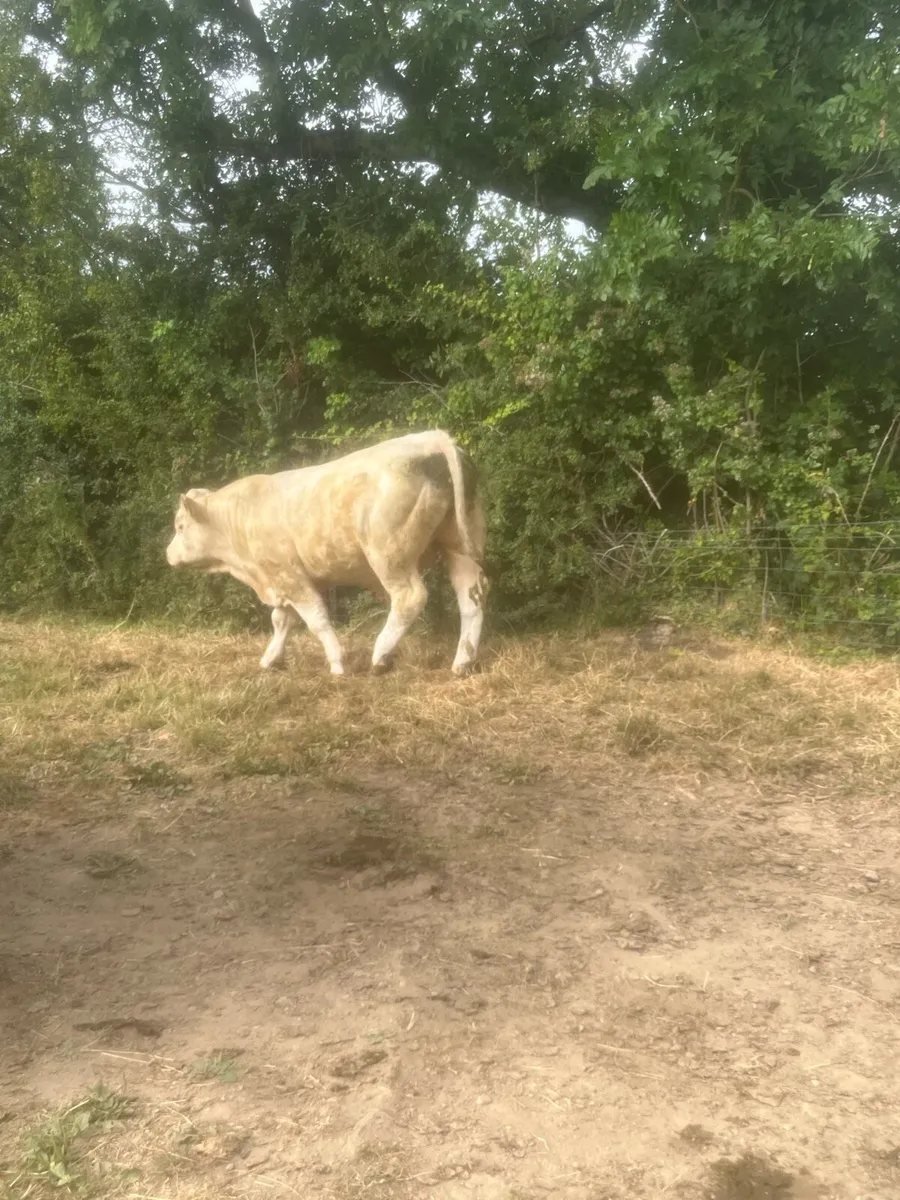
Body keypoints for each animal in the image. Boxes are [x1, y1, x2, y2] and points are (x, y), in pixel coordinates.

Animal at [165, 430, 488, 677]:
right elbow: (281, 621)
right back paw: (462, 662)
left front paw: (337, 664)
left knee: (410, 597)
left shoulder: (291, 577)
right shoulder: (280, 580)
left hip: (390, 555)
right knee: (471, 596)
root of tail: (430, 437)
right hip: (460, 545)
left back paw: (380, 656)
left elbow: (316, 620)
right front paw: (270, 659)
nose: (168, 554)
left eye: (180, 526)